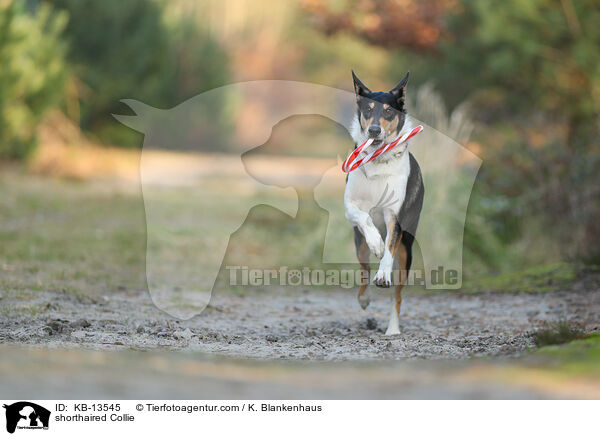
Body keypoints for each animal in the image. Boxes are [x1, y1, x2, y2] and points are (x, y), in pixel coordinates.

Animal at [344, 71, 424, 336]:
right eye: (368, 110)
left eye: (388, 111)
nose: (373, 130)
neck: (378, 162)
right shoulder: (350, 206)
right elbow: (365, 218)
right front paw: (377, 243)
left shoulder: (394, 218)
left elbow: (388, 250)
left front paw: (383, 274)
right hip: (358, 245)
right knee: (364, 269)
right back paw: (364, 297)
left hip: (407, 252)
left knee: (397, 296)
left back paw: (393, 329)